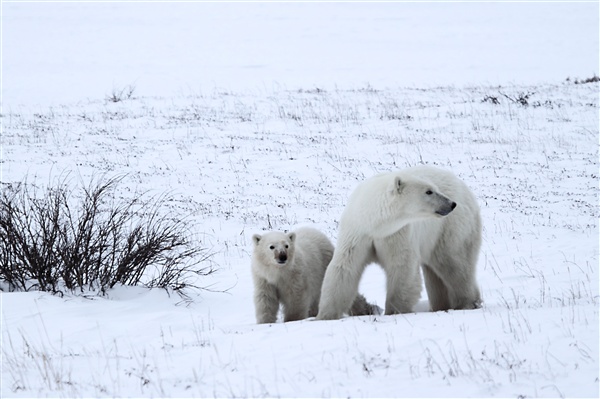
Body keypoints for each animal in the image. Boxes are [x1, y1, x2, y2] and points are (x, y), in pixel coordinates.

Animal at [252, 228, 380, 324]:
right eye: (271, 246)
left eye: (286, 245)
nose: (282, 256)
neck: (279, 273)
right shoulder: (263, 279)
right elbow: (266, 298)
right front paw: (265, 321)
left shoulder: (295, 276)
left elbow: (295, 298)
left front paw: (292, 319)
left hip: (324, 264)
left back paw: (368, 309)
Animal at [318, 164, 482, 320]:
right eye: (429, 191)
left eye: (434, 189)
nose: (451, 204)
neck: (375, 223)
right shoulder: (357, 233)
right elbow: (344, 268)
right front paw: (324, 316)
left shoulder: (397, 233)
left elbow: (401, 267)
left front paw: (394, 311)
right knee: (435, 272)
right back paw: (440, 306)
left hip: (450, 229)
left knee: (454, 263)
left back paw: (467, 303)